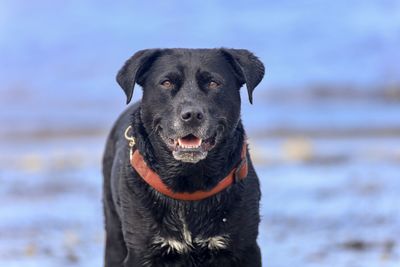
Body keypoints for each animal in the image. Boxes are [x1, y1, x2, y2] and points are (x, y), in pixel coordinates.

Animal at [103, 48, 266, 267]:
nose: (192, 115)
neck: (188, 187)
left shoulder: (245, 250)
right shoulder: (141, 253)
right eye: (166, 83)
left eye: (213, 83)